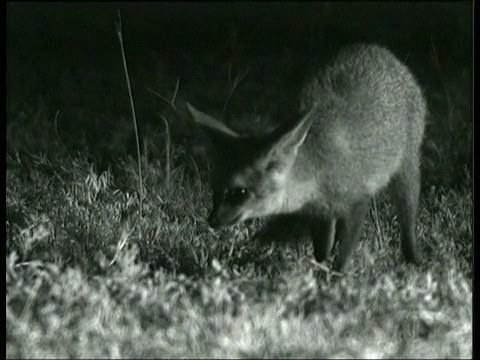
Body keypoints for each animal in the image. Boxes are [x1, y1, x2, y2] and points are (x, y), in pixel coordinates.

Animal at [186, 43, 426, 272]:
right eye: (215, 192)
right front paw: (320, 272)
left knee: (407, 221)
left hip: (406, 175)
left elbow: (343, 254)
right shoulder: (319, 214)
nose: (211, 221)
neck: (318, 170)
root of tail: (381, 51)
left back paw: (413, 258)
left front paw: (335, 278)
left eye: (240, 192)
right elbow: (322, 250)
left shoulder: (357, 202)